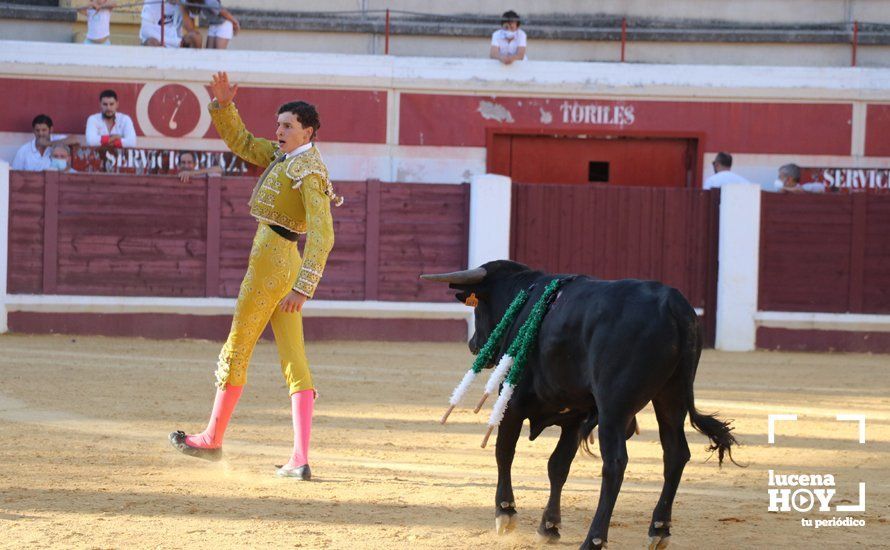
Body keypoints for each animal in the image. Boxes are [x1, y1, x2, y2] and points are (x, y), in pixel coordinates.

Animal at [422, 262, 736, 550]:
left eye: (478, 309)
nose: (473, 344)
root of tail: (673, 305)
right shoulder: (576, 415)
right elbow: (558, 465)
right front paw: (549, 526)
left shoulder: (513, 403)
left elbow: (504, 452)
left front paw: (505, 512)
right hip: (671, 396)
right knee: (675, 453)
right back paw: (659, 529)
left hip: (614, 407)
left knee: (615, 463)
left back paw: (594, 539)